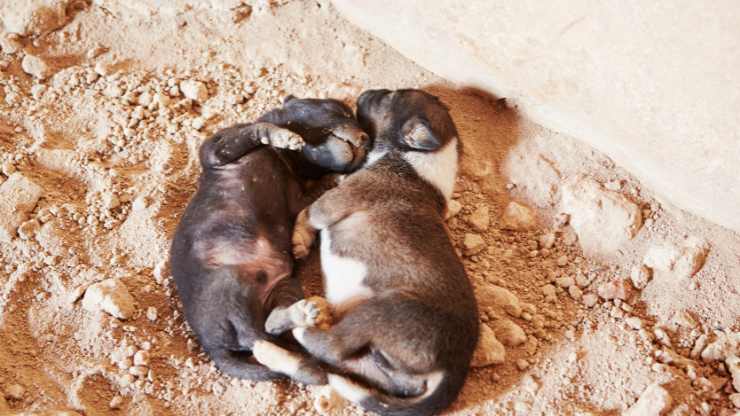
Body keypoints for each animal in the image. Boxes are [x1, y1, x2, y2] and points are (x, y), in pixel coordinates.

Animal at [169, 96, 368, 386]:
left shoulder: (298, 198)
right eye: (339, 110)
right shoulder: (217, 151)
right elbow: (254, 130)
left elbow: (312, 203)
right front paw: (283, 136)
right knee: (260, 335)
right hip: (232, 281)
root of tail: (212, 347)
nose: (367, 139)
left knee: (269, 328)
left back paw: (304, 320)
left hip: (283, 285)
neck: (285, 160)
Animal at [266, 89, 480, 414]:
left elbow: (308, 212)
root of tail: (455, 366)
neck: (416, 161)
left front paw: (299, 240)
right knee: (351, 362)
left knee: (333, 346)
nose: (365, 93)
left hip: (381, 310)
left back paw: (302, 326)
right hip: (380, 367)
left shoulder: (336, 201)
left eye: (389, 98)